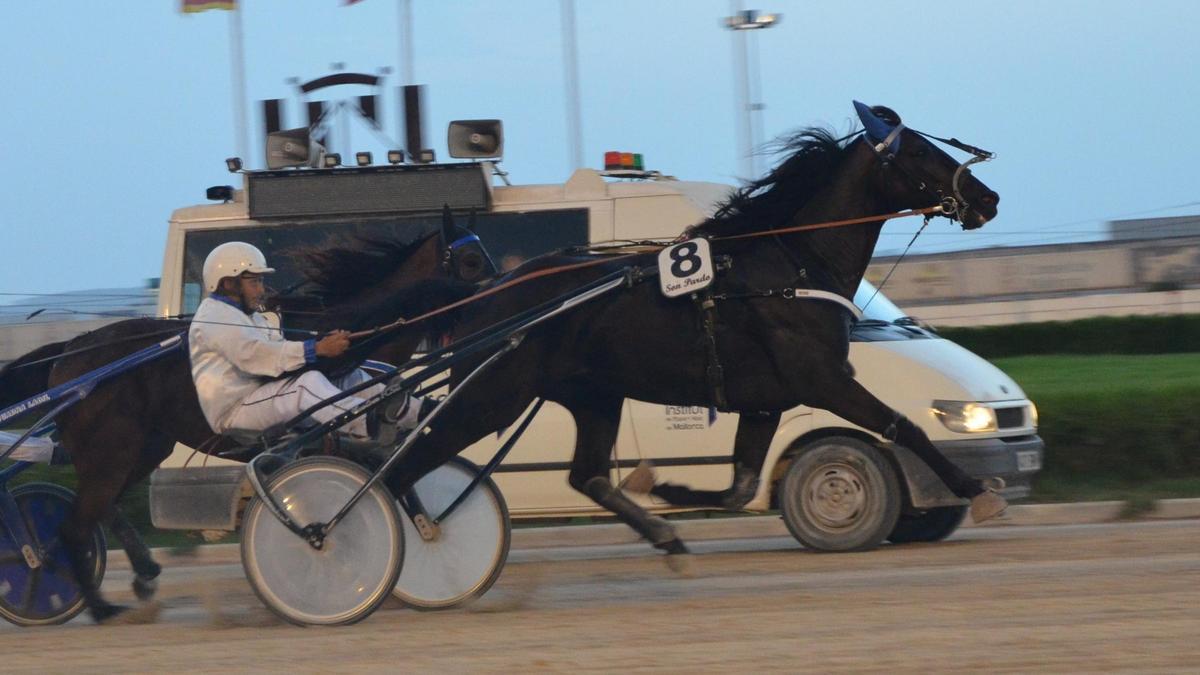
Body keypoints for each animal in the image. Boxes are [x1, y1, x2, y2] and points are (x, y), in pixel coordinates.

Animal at [0, 216, 489, 619]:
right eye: (470, 260)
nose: (499, 288)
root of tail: (68, 352)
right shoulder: (319, 437)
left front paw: (429, 531)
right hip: (111, 451)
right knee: (74, 525)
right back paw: (95, 602)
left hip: (142, 448)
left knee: (104, 509)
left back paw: (141, 574)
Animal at [381, 105, 1003, 564]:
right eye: (919, 151)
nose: (988, 197)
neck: (791, 267)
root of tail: (483, 294)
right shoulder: (823, 379)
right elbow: (906, 427)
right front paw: (978, 491)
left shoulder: (765, 401)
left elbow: (741, 485)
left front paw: (665, 490)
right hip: (492, 395)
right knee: (409, 460)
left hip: (593, 396)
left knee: (585, 475)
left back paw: (663, 534)